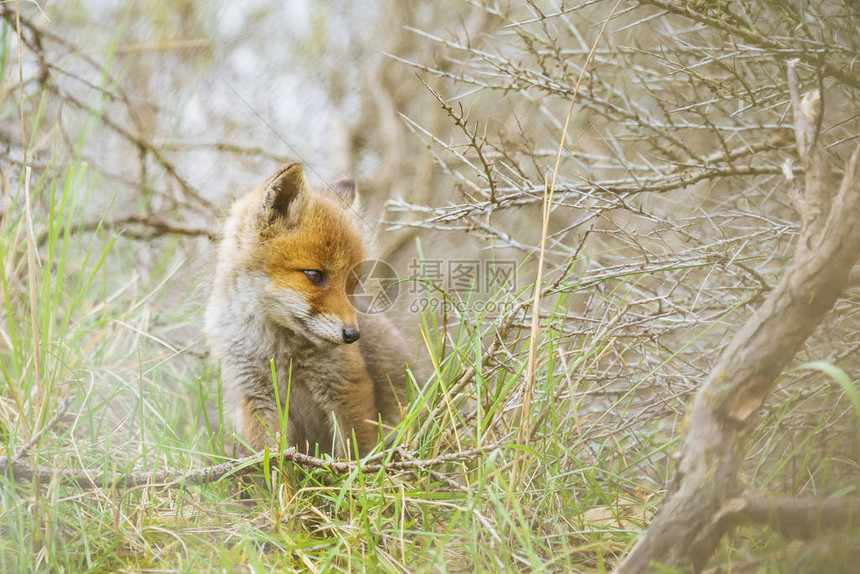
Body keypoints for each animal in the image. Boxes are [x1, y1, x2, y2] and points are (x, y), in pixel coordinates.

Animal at [207, 162, 412, 460]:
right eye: (314, 275)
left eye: (353, 283)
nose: (353, 335)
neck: (278, 349)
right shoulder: (255, 394)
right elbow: (268, 459)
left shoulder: (347, 384)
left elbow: (354, 454)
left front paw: (352, 474)